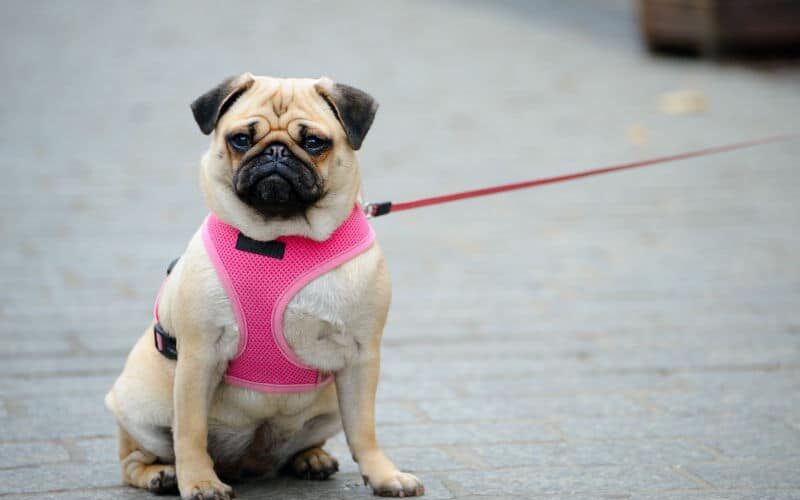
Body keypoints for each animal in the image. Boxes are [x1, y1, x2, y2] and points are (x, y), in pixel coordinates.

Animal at [106, 75, 424, 500]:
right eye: (240, 139)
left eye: (314, 143)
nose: (275, 151)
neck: (282, 240)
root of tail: (247, 462)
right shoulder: (198, 355)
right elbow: (189, 431)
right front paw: (200, 481)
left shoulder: (361, 356)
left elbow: (363, 429)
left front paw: (384, 475)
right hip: (142, 405)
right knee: (134, 458)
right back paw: (161, 474)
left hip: (328, 409)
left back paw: (311, 458)